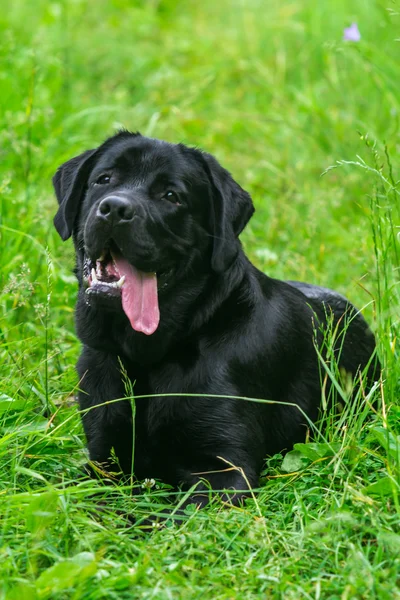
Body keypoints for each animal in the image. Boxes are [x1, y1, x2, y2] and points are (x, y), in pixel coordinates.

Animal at [53, 132, 378, 506]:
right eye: (104, 179)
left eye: (171, 196)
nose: (115, 209)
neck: (150, 357)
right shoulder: (103, 458)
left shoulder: (225, 472)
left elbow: (162, 514)